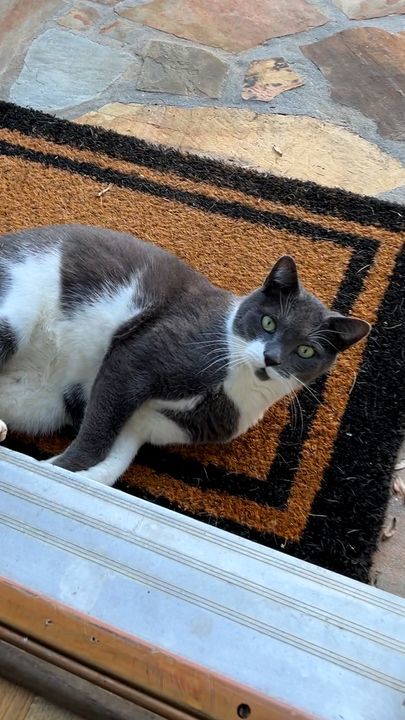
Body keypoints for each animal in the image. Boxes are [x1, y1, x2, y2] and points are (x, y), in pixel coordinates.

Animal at [0, 224, 370, 484]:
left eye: (305, 350)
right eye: (269, 322)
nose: (272, 358)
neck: (235, 388)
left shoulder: (147, 425)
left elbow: (112, 464)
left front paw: (57, 468)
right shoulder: (140, 359)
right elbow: (98, 433)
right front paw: (54, 470)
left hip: (42, 405)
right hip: (16, 313)